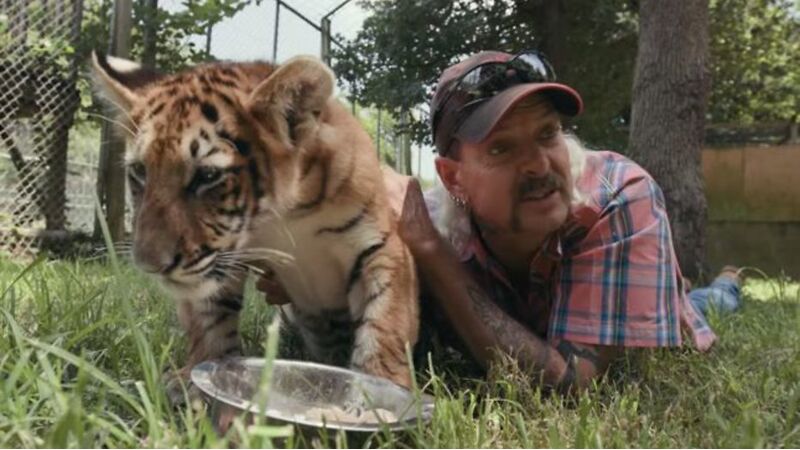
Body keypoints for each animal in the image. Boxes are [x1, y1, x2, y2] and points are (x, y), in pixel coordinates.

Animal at [91, 52, 419, 390]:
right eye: (140, 171)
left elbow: (384, 321)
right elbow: (209, 320)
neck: (283, 216)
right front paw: (197, 379)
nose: (150, 266)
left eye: (207, 175)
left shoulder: (382, 247)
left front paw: (381, 388)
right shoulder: (222, 258)